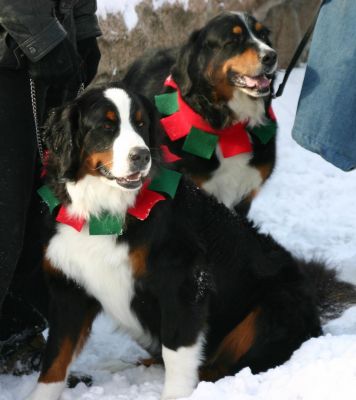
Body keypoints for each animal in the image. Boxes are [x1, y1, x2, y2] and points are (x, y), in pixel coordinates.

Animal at [27, 82, 356, 400]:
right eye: (106, 126)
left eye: (141, 124)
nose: (141, 156)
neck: (106, 211)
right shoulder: (70, 286)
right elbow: (56, 358)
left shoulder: (182, 280)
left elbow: (178, 351)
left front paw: (176, 395)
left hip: (271, 308)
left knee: (225, 366)